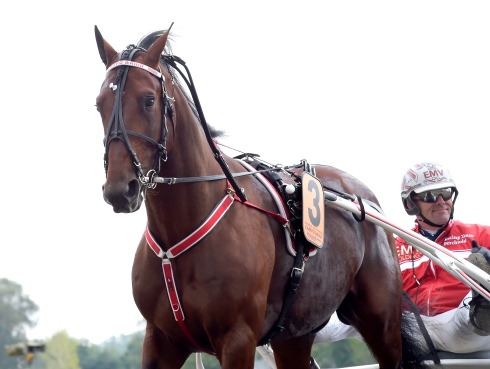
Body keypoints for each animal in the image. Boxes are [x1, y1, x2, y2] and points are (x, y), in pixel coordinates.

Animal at [94, 24, 430, 366]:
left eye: (148, 100)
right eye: (99, 104)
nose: (119, 189)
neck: (180, 230)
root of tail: (364, 197)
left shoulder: (237, 339)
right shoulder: (160, 340)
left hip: (381, 325)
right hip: (295, 334)